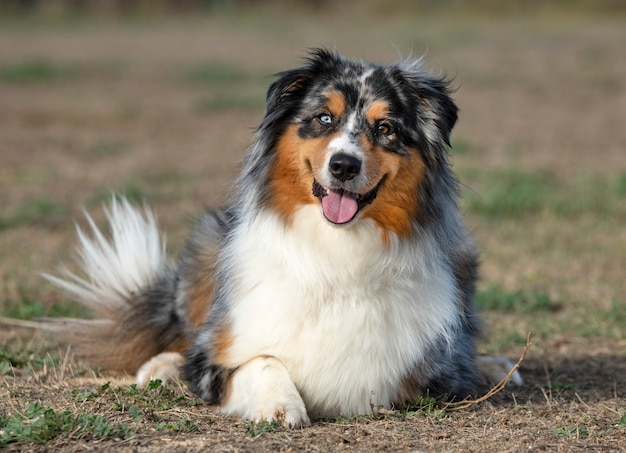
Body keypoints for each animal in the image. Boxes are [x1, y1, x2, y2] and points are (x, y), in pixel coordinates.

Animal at [41, 50, 516, 428]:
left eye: (385, 129)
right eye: (324, 118)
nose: (344, 165)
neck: (336, 254)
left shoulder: (428, 372)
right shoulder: (218, 359)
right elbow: (260, 359)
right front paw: (279, 404)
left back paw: (497, 366)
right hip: (207, 247)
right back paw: (161, 367)